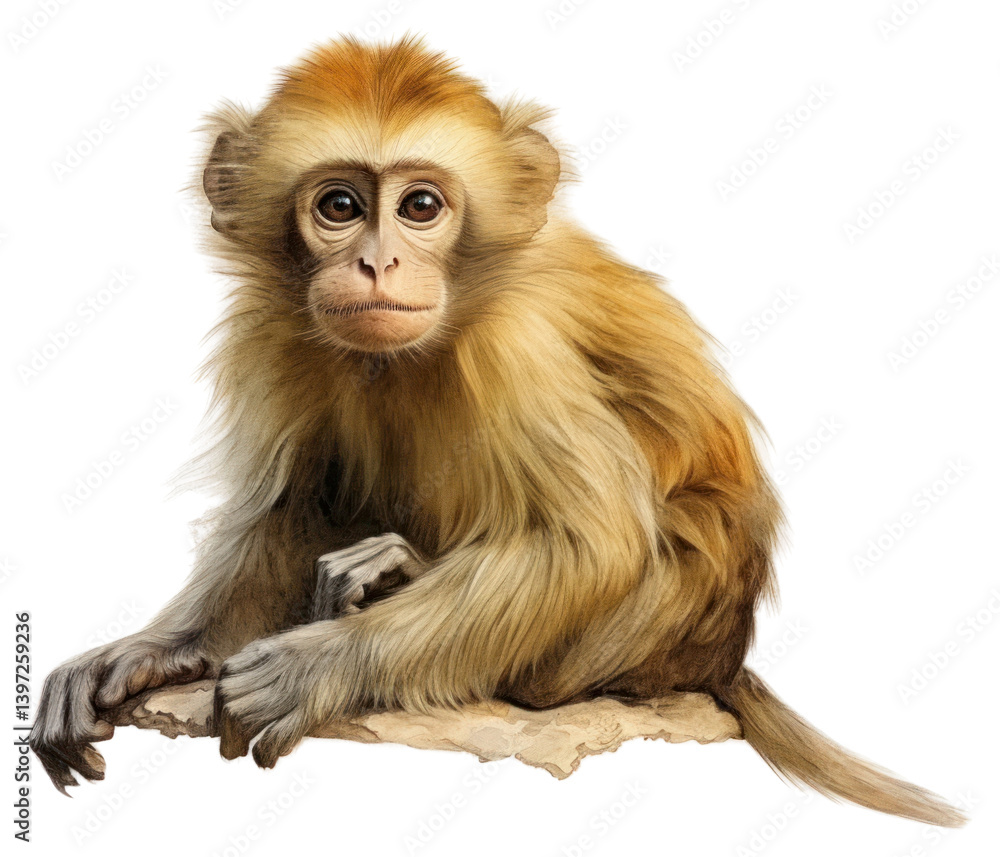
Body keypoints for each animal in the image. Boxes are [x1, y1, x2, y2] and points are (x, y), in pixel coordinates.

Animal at [30, 36, 963, 827]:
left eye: (421, 206)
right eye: (339, 205)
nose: (377, 262)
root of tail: (721, 654)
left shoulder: (517, 343)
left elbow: (591, 542)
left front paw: (317, 664)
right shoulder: (270, 331)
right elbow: (290, 506)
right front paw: (156, 650)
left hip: (659, 617)